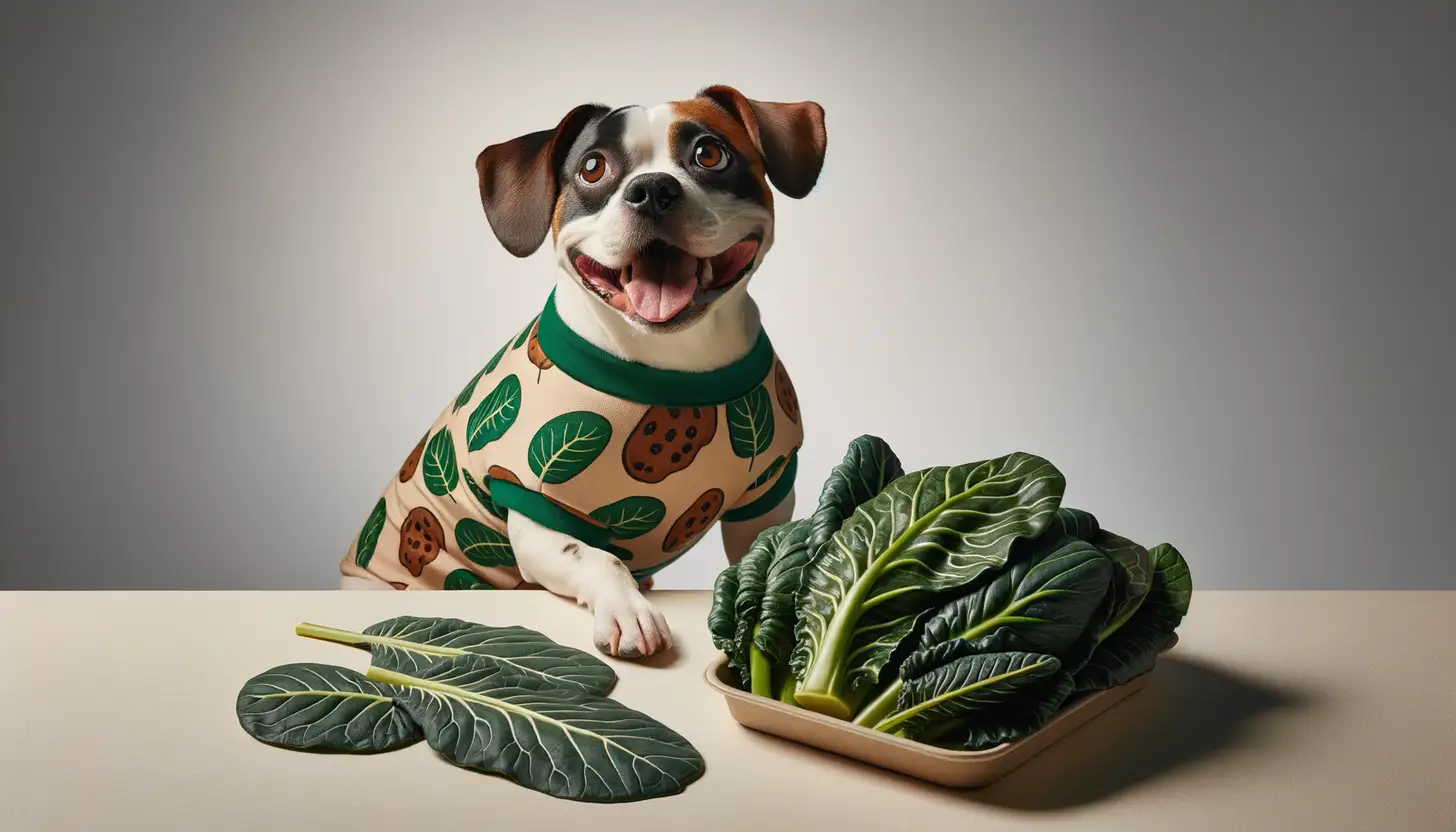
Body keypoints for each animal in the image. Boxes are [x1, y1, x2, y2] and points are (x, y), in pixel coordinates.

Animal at [334, 83, 827, 658]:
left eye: (710, 154)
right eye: (593, 168)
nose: (652, 190)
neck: (674, 362)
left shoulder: (766, 497)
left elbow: (760, 557)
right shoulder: (535, 508)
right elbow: (596, 557)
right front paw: (630, 612)